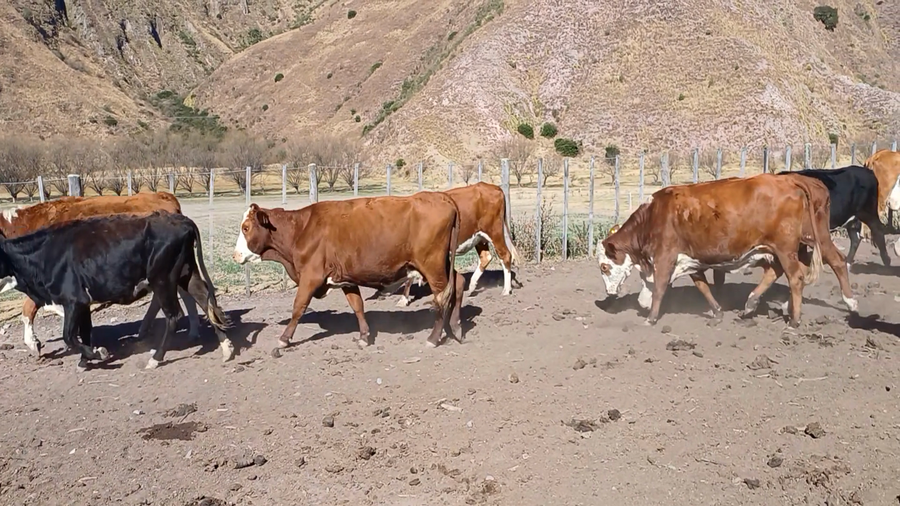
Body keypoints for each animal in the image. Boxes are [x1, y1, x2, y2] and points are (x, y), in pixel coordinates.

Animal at [0, 211, 232, 371]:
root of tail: (181, 220)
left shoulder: (73, 300)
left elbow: (68, 335)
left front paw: (98, 354)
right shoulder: (83, 302)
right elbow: (85, 331)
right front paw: (85, 361)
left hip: (162, 279)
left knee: (174, 316)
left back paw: (155, 359)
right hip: (186, 273)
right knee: (205, 300)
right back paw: (227, 348)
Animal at [232, 194, 465, 349]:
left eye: (246, 228)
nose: (235, 255)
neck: (302, 229)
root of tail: (442, 198)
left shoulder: (310, 277)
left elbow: (298, 307)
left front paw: (283, 339)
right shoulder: (346, 278)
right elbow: (357, 306)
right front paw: (363, 336)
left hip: (431, 265)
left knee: (442, 296)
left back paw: (434, 338)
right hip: (442, 264)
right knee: (459, 282)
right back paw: (456, 327)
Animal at [389, 183, 520, 307]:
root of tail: (493, 187)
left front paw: (403, 300)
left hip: (494, 231)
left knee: (505, 255)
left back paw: (506, 289)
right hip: (479, 236)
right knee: (486, 257)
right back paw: (472, 286)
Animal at [596, 173, 857, 327]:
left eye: (604, 266)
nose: (608, 294)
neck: (654, 216)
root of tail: (791, 180)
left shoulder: (665, 257)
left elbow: (659, 289)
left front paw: (651, 319)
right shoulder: (690, 259)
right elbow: (702, 286)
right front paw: (718, 312)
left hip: (791, 246)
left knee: (802, 274)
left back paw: (802, 317)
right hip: (797, 243)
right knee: (781, 271)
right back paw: (753, 304)